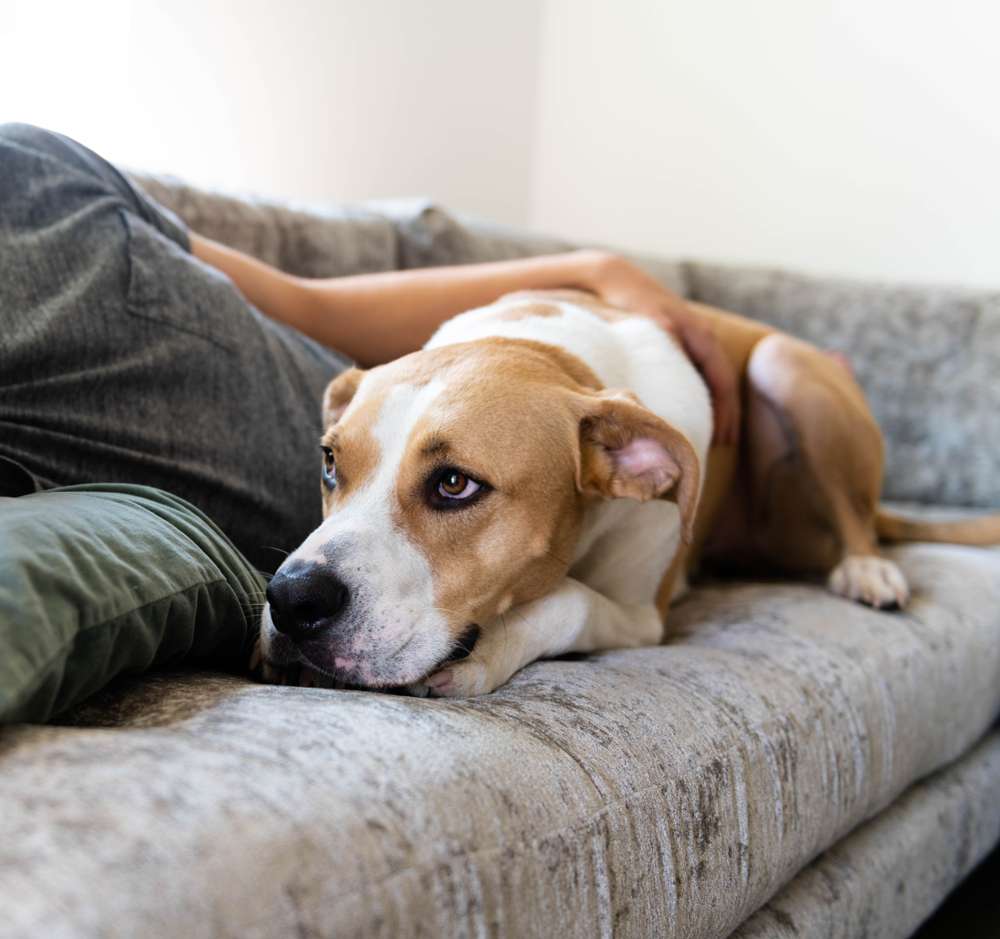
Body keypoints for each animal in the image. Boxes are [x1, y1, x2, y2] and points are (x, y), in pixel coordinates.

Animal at [256, 290, 1000, 697]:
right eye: (330, 464)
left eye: (455, 484)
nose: (293, 599)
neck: (558, 360)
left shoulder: (642, 614)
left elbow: (569, 598)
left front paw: (491, 648)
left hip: (785, 365)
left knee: (856, 517)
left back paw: (867, 567)